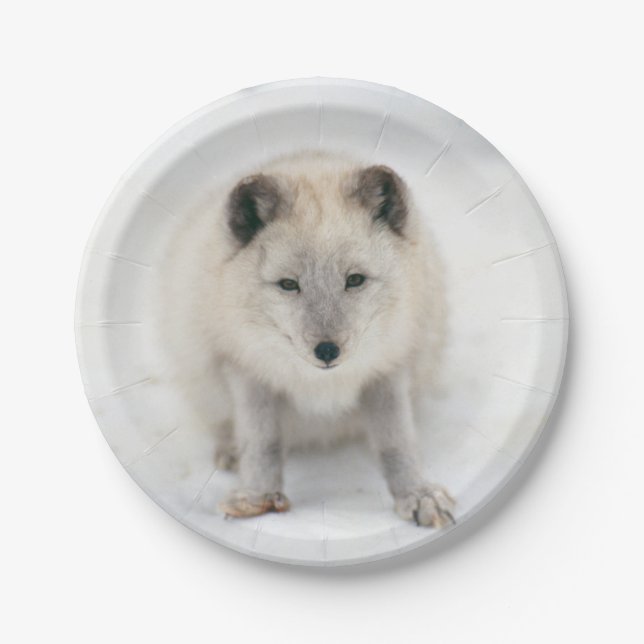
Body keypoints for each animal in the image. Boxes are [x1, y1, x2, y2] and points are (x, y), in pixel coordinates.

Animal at [156, 150, 455, 528]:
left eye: (355, 279)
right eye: (288, 284)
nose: (327, 350)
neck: (319, 384)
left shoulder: (388, 370)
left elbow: (396, 442)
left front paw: (416, 494)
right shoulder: (246, 370)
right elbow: (262, 441)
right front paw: (257, 497)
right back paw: (230, 450)